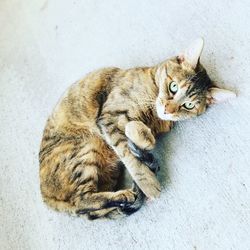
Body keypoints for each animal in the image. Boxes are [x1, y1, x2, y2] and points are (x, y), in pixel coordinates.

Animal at [38, 38, 234, 219]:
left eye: (188, 105)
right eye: (173, 87)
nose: (168, 110)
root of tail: (46, 198)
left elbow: (138, 139)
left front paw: (144, 138)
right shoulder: (110, 117)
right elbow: (130, 155)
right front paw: (148, 183)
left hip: (107, 171)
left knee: (93, 209)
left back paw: (128, 197)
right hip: (85, 151)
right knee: (82, 201)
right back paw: (127, 195)